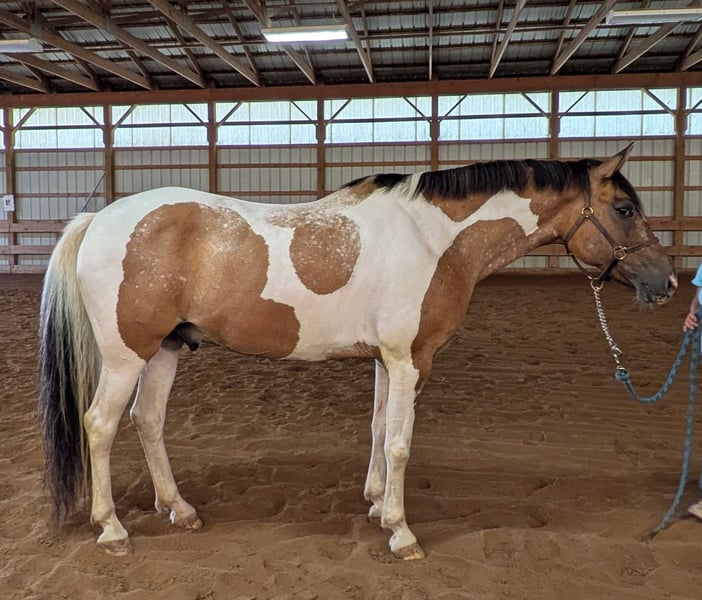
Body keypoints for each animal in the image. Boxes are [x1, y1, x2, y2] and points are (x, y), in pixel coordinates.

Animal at [38, 145, 676, 560]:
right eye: (625, 210)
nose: (668, 281)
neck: (435, 240)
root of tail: (99, 218)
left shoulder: (385, 359)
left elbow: (376, 429)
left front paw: (373, 505)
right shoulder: (410, 359)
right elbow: (399, 444)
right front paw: (400, 531)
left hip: (166, 349)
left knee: (147, 421)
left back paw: (181, 509)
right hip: (127, 356)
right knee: (100, 425)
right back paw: (112, 530)